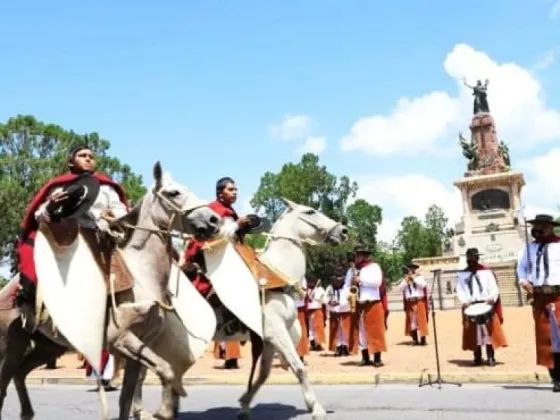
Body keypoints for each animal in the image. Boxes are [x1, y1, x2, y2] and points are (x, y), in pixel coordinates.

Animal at [0, 162, 221, 420]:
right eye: (173, 193)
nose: (214, 220)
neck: (141, 274)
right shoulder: (121, 339)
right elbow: (166, 370)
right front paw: (164, 411)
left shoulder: (139, 348)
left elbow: (127, 397)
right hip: (11, 343)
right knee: (5, 381)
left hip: (49, 345)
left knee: (20, 373)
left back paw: (27, 412)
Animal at [124, 199, 348, 420]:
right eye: (310, 212)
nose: (343, 231)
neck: (276, 274)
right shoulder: (276, 332)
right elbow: (299, 368)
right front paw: (316, 408)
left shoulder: (268, 338)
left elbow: (263, 374)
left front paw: (244, 405)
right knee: (141, 372)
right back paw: (141, 410)